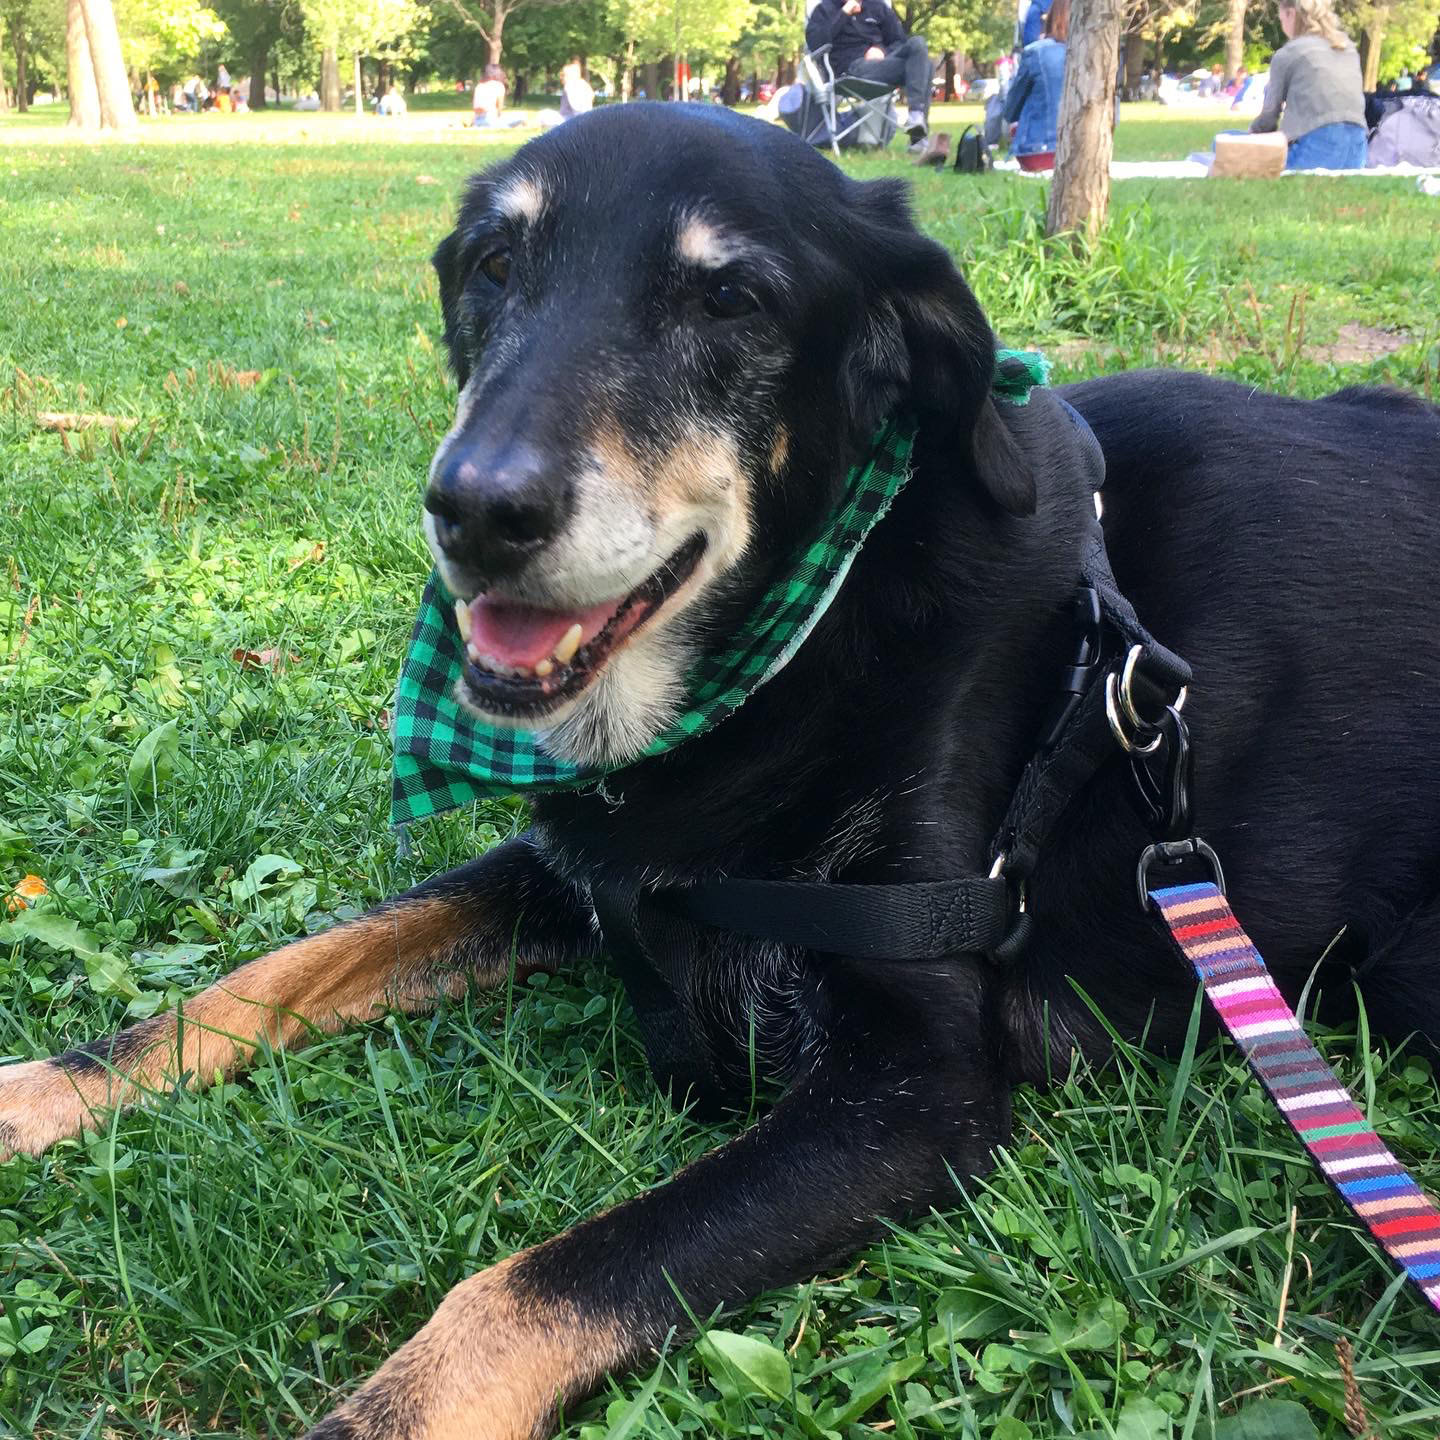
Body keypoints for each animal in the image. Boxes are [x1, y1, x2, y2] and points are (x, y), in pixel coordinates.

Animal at [2, 104, 1440, 1440]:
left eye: (730, 300)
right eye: (492, 265)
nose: (475, 510)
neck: (799, 635)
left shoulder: (916, 1084)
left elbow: (535, 1284)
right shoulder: (566, 868)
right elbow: (279, 968)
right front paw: (44, 1091)